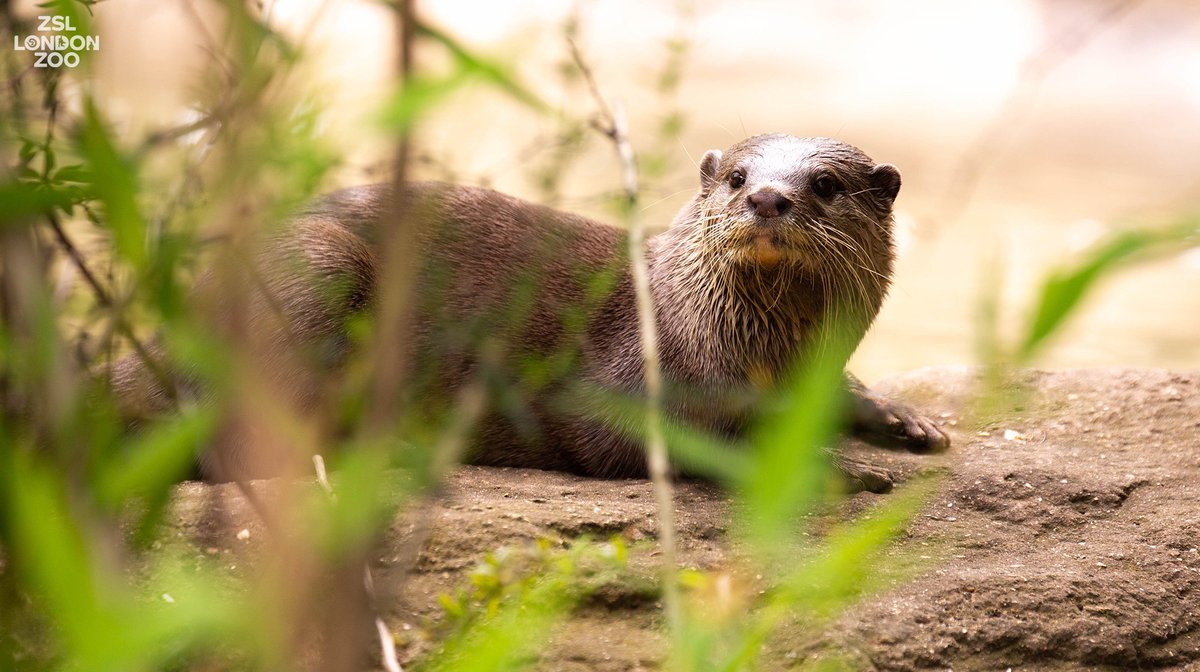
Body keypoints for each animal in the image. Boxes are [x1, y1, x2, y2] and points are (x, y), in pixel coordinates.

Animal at [117, 132, 950, 487]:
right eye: (739, 175)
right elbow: (662, 443)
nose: (770, 197)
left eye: (826, 185)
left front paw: (902, 420)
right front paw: (833, 470)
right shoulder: (628, 382)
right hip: (315, 268)